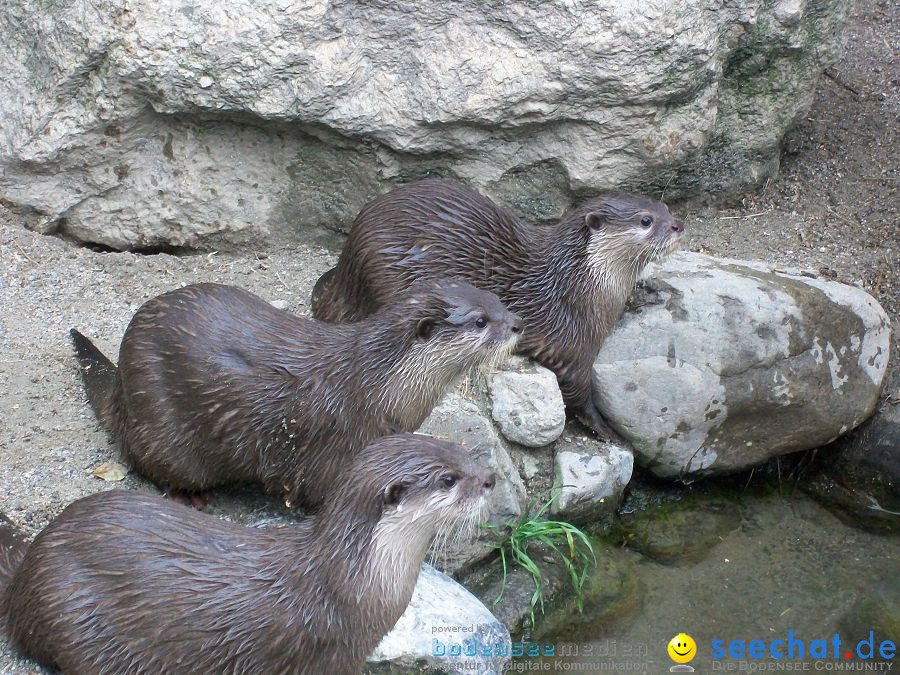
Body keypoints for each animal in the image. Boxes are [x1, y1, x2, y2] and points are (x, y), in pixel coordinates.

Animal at [0, 436, 496, 672]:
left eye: (462, 452)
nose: (490, 479)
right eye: (449, 479)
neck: (347, 583)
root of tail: (26, 574)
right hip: (73, 618)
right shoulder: (322, 653)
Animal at [70, 278, 520, 508]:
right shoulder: (336, 444)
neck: (376, 386)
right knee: (146, 461)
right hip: (158, 419)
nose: (516, 324)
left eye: (499, 301)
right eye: (481, 321)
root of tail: (122, 388)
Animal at [312, 180, 684, 444]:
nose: (678, 225)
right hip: (383, 275)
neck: (574, 285)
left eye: (665, 207)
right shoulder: (573, 345)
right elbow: (579, 395)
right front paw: (609, 432)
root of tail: (348, 259)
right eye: (646, 220)